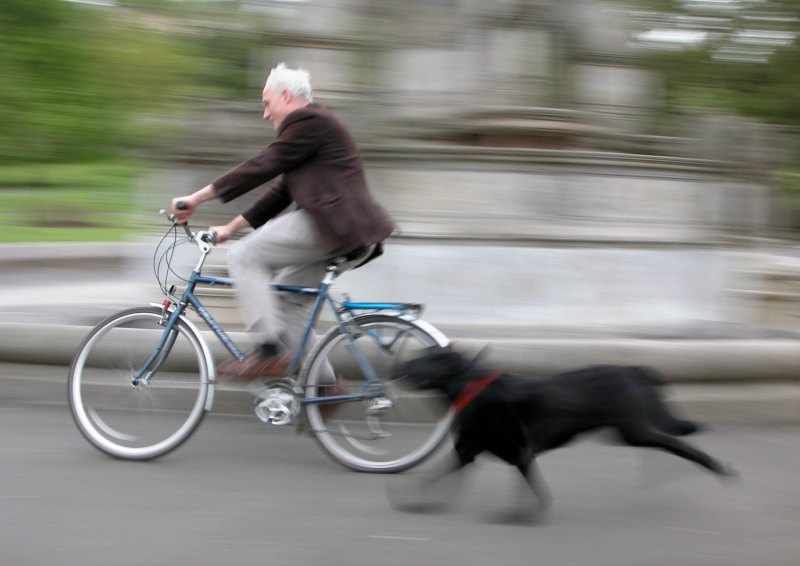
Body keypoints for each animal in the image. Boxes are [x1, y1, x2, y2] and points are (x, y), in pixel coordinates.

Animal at [394, 350, 736, 524]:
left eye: (427, 358)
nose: (398, 365)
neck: (471, 387)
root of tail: (634, 369)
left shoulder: (518, 451)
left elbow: (531, 488)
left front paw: (522, 515)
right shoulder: (469, 451)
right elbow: (436, 476)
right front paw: (419, 503)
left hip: (635, 432)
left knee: (680, 444)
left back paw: (720, 469)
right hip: (629, 433)